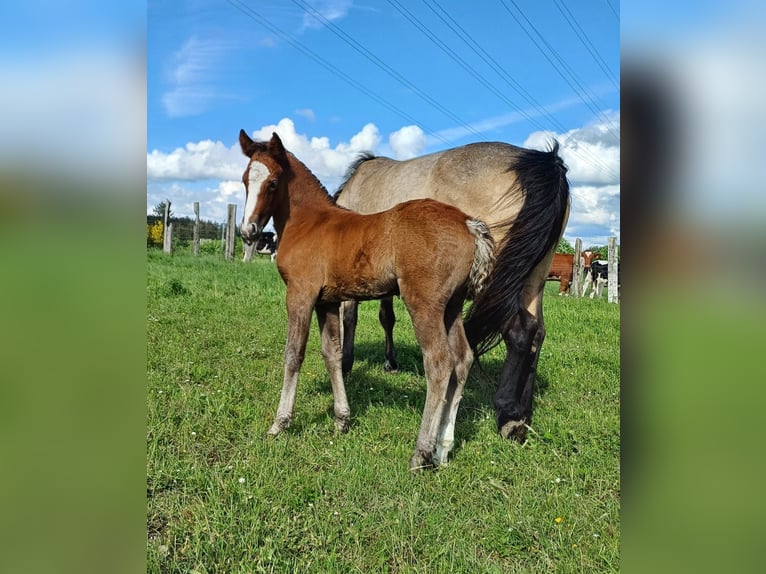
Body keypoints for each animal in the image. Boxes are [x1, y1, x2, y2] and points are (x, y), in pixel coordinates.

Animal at [240, 132, 508, 472]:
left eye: (273, 183)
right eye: (245, 180)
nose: (248, 231)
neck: (309, 222)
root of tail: (469, 223)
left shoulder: (300, 295)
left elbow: (293, 354)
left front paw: (280, 423)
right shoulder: (327, 302)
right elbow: (332, 354)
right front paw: (342, 420)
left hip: (424, 304)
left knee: (439, 363)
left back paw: (421, 452)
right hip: (452, 307)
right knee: (462, 359)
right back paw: (443, 450)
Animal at [336, 142, 568, 444]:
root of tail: (544, 161)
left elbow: (350, 316)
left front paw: (346, 364)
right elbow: (386, 317)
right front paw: (390, 361)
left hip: (499, 282)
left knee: (519, 332)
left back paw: (508, 413)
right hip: (532, 278)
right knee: (536, 332)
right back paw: (522, 414)